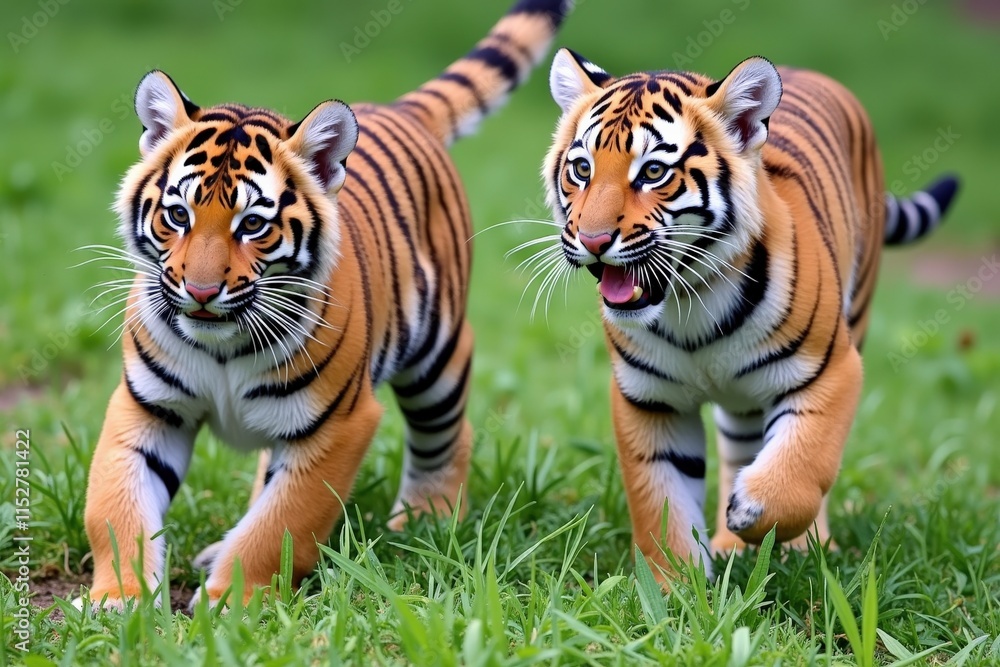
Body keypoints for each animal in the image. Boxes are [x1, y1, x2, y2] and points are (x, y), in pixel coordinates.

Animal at [81, 0, 570, 609]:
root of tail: (399, 108)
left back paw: (429, 522)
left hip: (437, 356)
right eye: (178, 215)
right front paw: (118, 600)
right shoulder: (147, 407)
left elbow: (281, 523)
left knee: (447, 434)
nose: (200, 291)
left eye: (252, 225)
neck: (222, 346)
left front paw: (230, 605)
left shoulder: (339, 425)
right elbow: (114, 507)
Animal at [538, 49, 959, 580]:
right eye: (581, 168)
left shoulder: (832, 369)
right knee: (742, 447)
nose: (592, 241)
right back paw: (727, 545)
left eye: (652, 172)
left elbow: (802, 465)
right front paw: (677, 587)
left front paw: (754, 514)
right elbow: (660, 505)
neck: (689, 302)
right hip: (740, 402)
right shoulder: (649, 400)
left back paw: (804, 547)